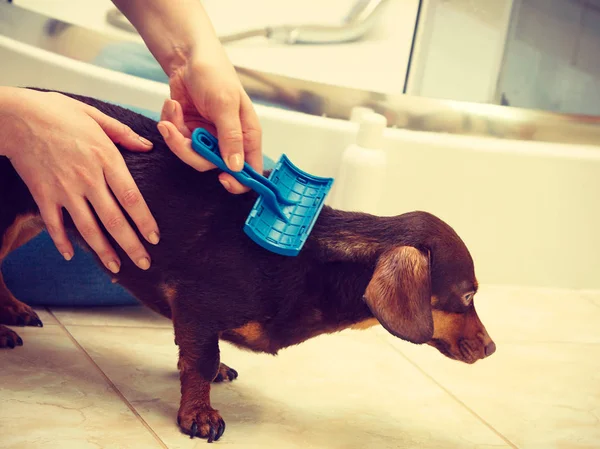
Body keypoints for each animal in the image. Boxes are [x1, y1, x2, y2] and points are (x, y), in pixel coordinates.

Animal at [0, 89, 496, 442]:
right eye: (467, 295)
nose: (492, 349)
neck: (310, 261)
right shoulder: (196, 303)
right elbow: (200, 359)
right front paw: (198, 413)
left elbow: (201, 353)